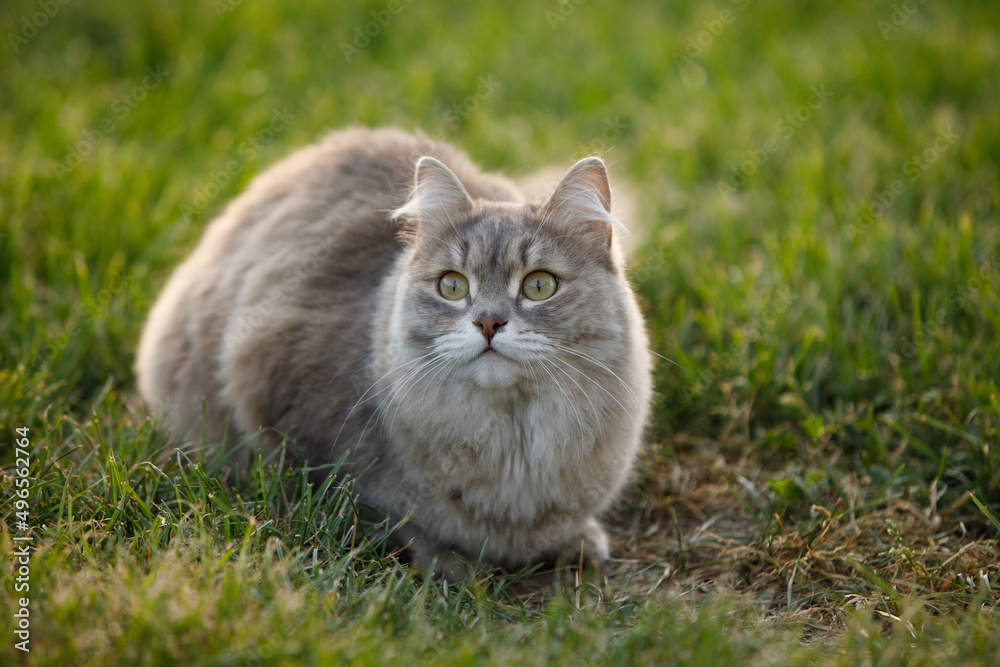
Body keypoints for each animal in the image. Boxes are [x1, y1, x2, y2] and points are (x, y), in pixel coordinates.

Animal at [137, 128, 652, 576]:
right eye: (452, 286)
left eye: (540, 286)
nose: (488, 322)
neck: (511, 443)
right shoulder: (273, 392)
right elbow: (394, 519)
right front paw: (451, 562)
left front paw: (577, 540)